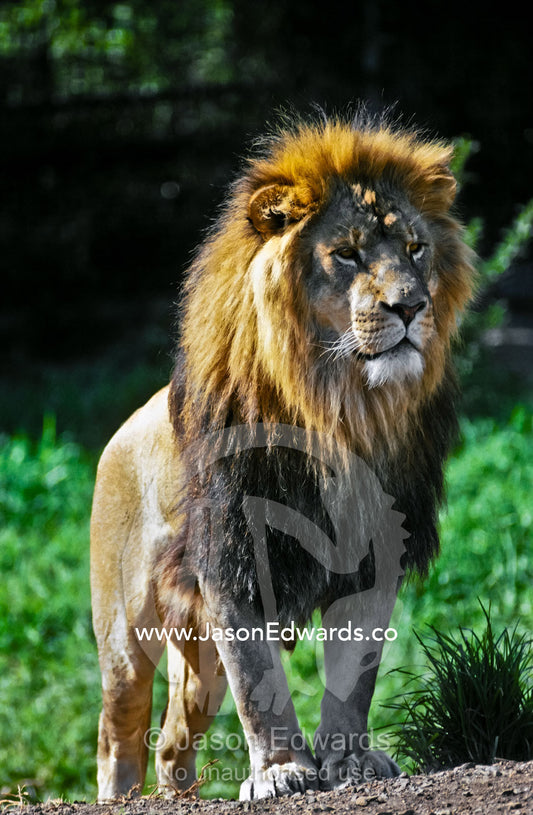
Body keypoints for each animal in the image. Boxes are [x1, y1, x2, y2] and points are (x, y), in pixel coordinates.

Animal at [90, 111, 475, 802]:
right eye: (347, 252)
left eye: (415, 249)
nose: (411, 306)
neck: (339, 406)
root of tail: (118, 432)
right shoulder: (234, 554)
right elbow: (259, 681)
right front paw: (280, 772)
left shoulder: (375, 550)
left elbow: (354, 677)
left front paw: (349, 761)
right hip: (125, 630)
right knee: (119, 730)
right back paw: (119, 799)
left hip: (195, 654)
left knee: (172, 739)